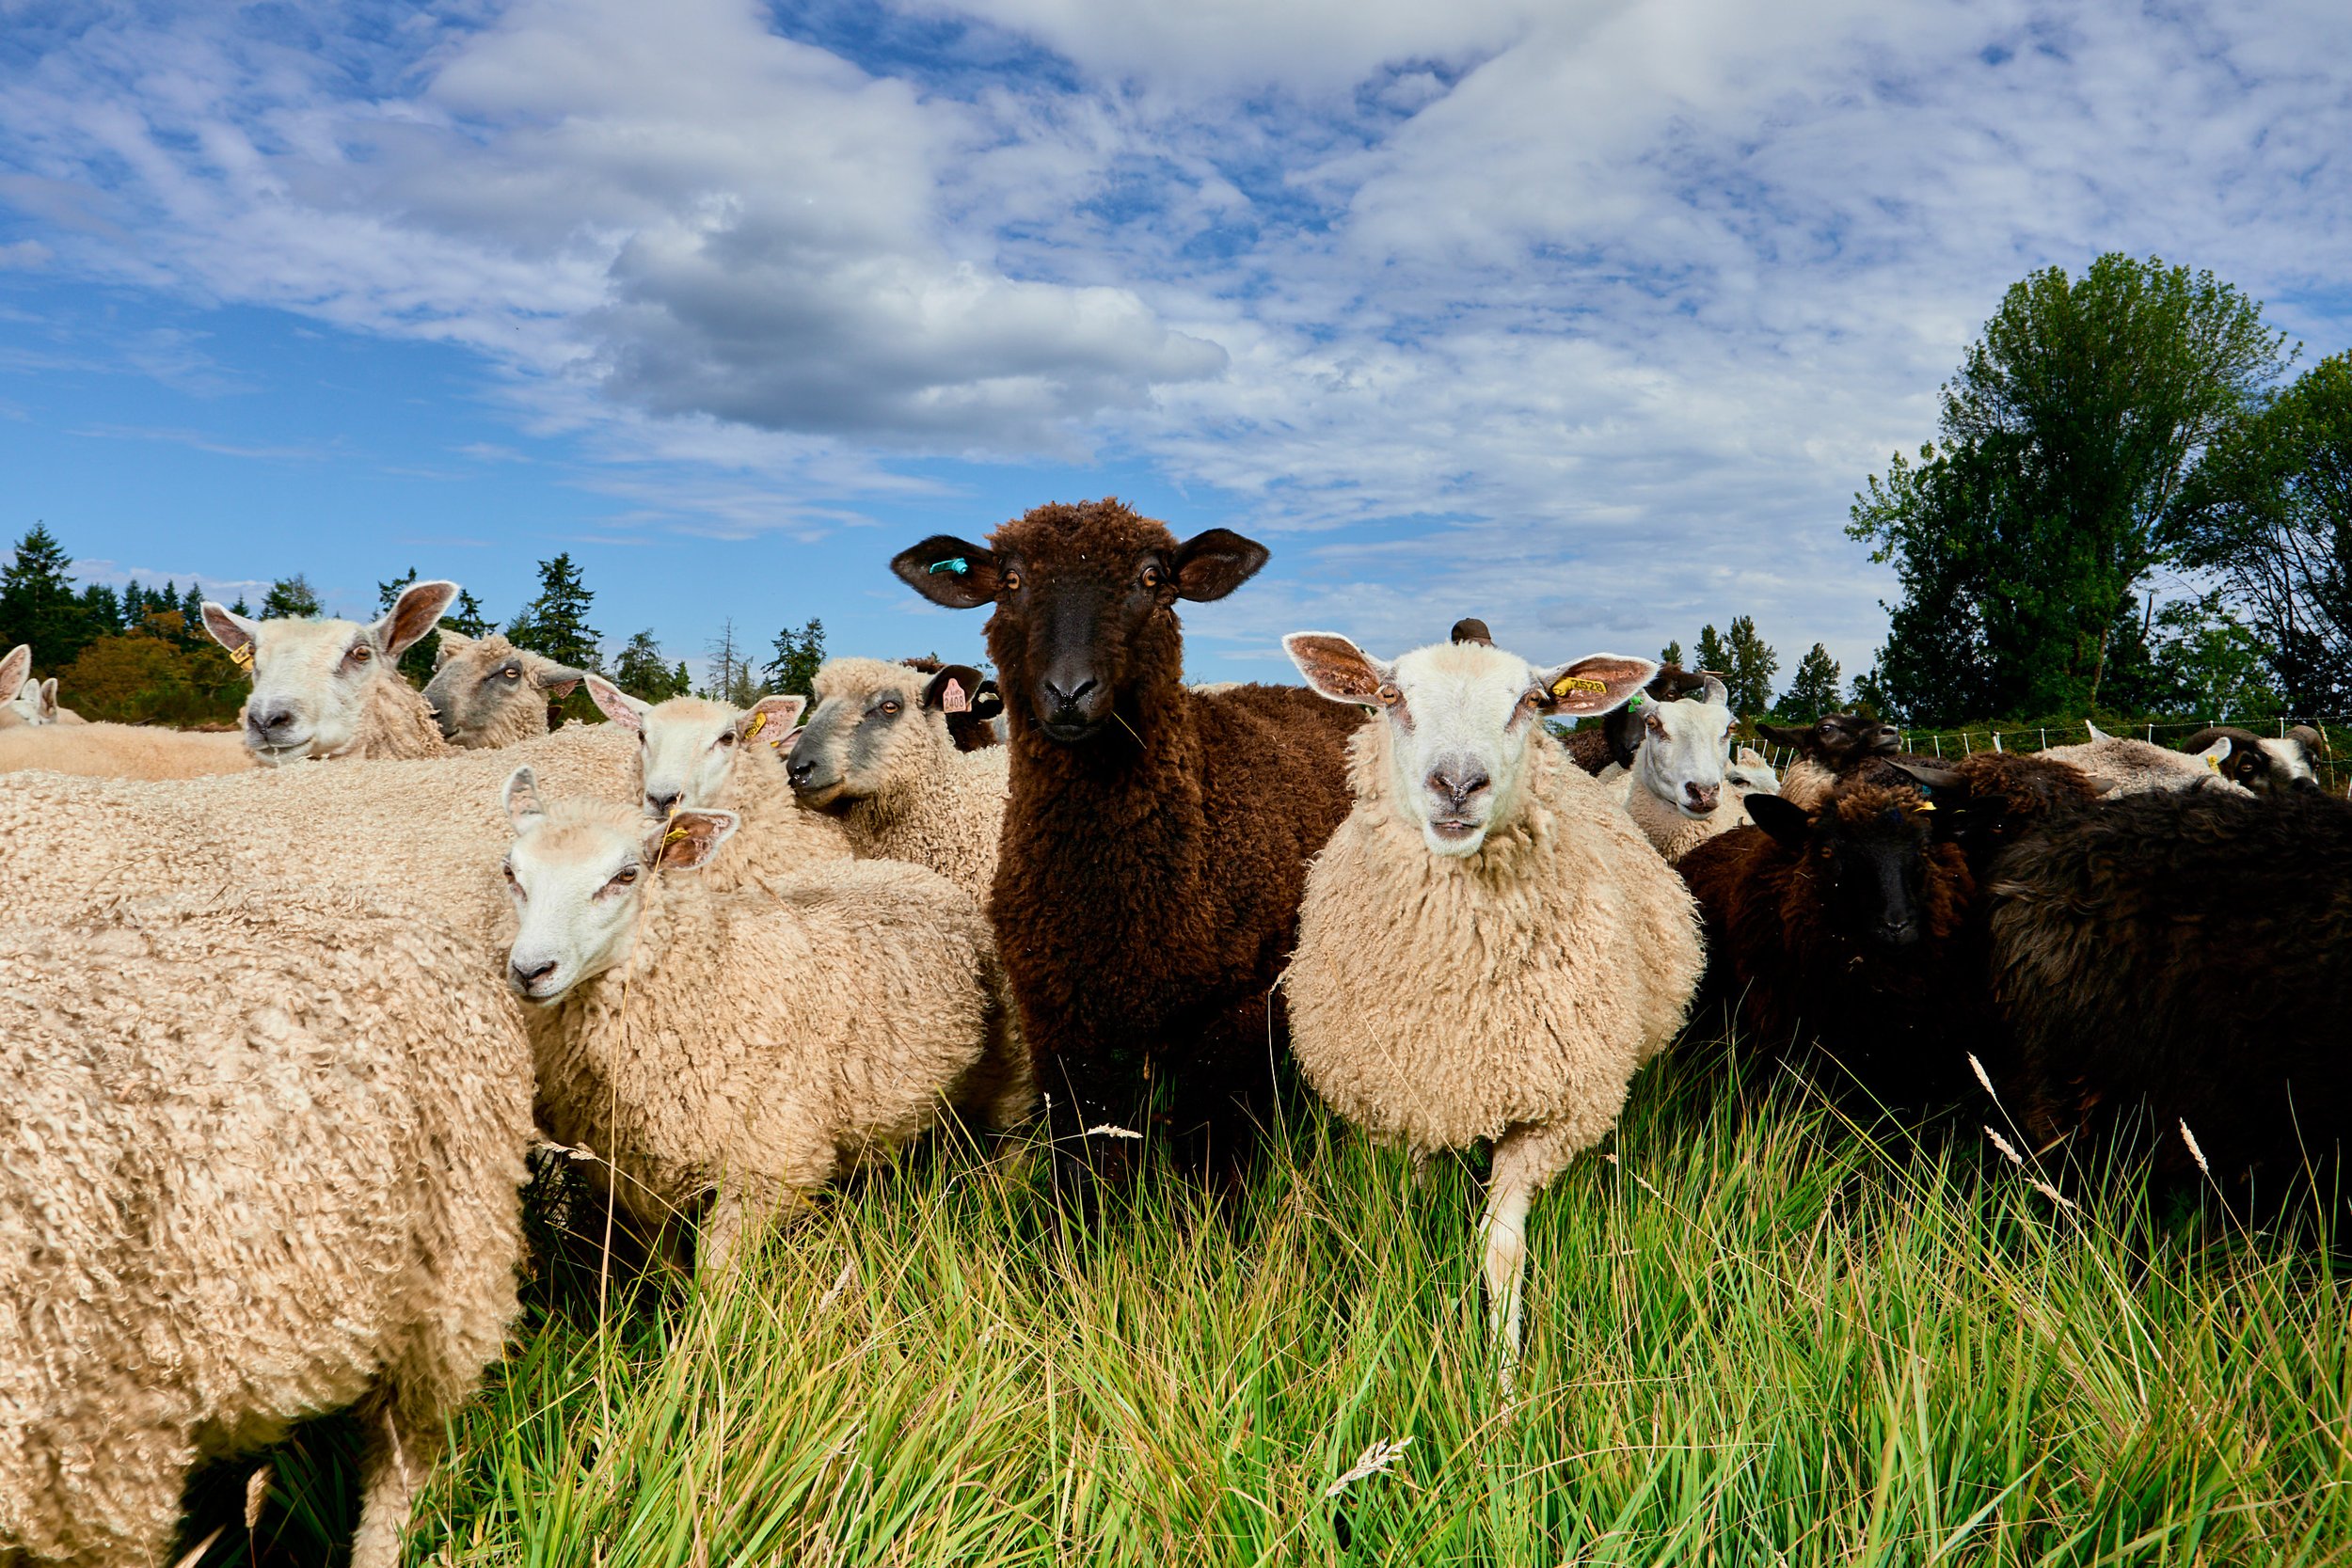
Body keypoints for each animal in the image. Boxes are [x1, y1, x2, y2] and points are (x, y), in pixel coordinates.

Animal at [498, 770, 1022, 1271]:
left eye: (626, 875)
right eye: (511, 873)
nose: (530, 970)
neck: (715, 975)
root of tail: (906, 871)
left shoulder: (766, 1169)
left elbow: (716, 1275)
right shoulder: (630, 1182)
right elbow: (663, 1267)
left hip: (1008, 1064)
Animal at [890, 498, 1365, 1185]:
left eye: (1151, 579)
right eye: (1011, 581)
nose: (1069, 691)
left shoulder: (1240, 1012)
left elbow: (1211, 1161)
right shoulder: (1059, 1018)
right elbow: (1086, 1159)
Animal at [1282, 633, 1700, 1385]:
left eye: (1531, 702)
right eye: (1390, 697)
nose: (1456, 784)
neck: (1461, 989)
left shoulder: (1549, 1117)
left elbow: (1501, 1249)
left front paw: (1504, 1385)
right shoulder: (1408, 1104)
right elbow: (1412, 1215)